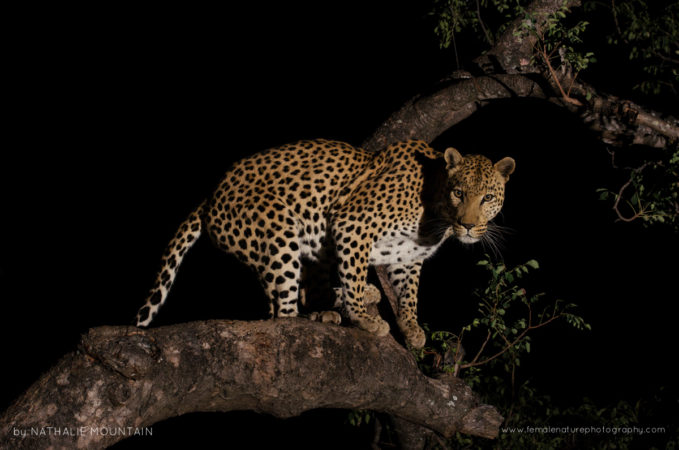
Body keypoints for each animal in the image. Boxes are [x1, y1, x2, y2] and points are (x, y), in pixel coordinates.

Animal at [135, 139, 515, 349]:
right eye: (459, 192)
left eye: (487, 197)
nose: (468, 226)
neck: (436, 215)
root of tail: (211, 196)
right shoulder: (353, 224)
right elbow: (356, 277)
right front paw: (365, 319)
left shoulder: (407, 254)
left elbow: (409, 292)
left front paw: (411, 327)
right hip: (278, 230)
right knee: (282, 313)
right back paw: (320, 314)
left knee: (302, 294)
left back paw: (330, 309)